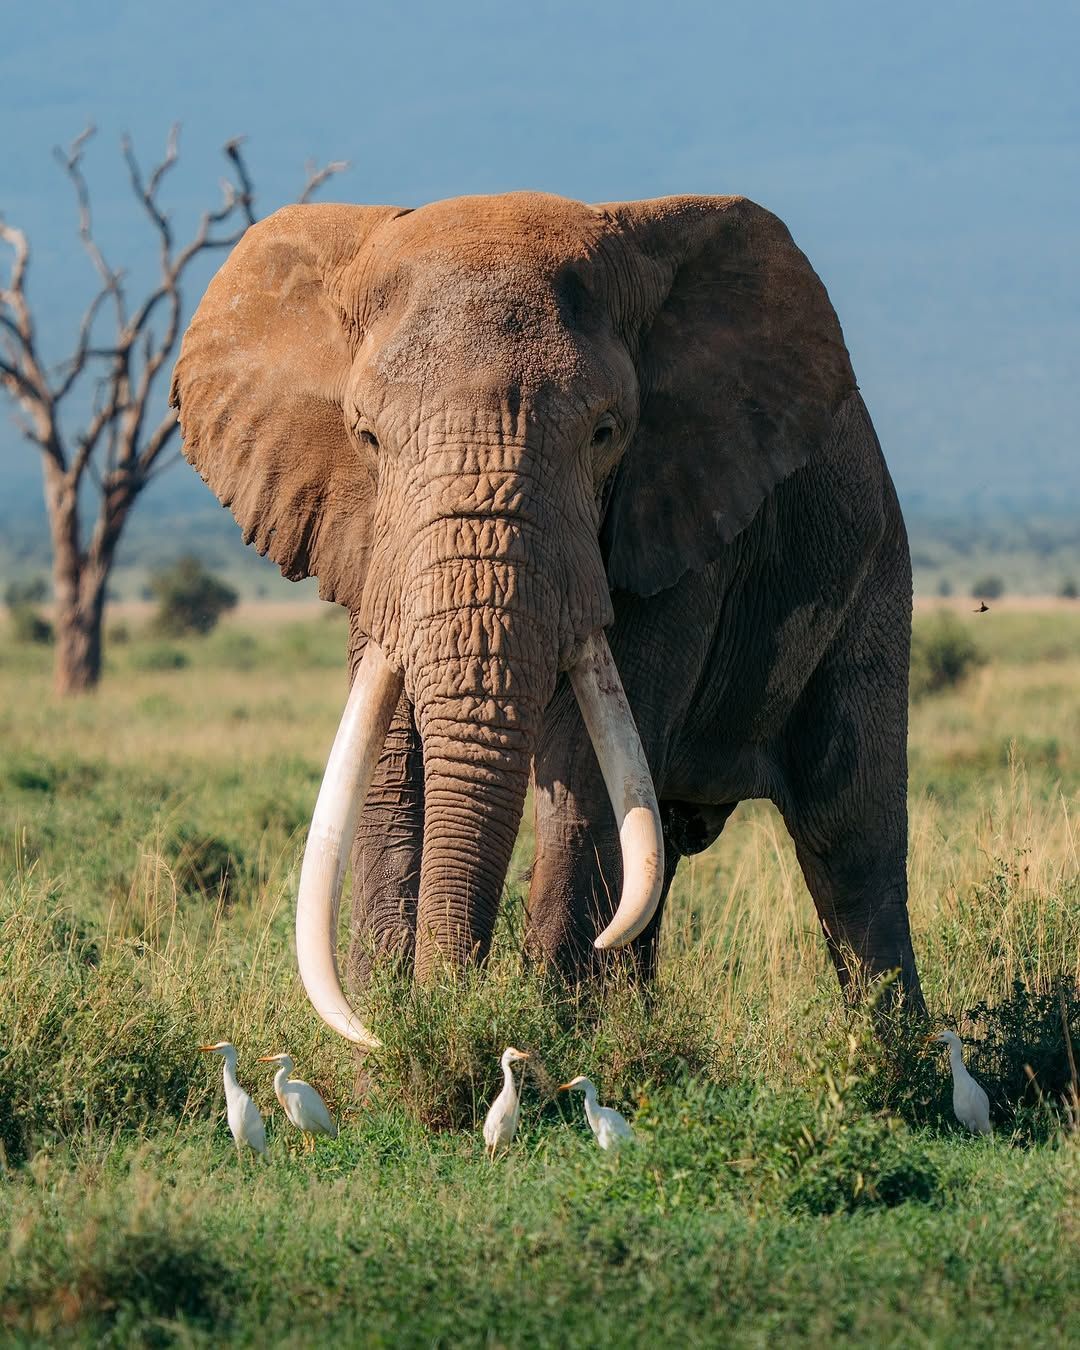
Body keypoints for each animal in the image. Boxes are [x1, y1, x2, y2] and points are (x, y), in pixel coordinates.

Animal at [171, 191, 923, 1047]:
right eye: (366, 436)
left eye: (604, 433)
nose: (447, 1009)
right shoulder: (366, 539)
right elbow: (391, 762)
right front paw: (383, 1046)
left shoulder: (672, 522)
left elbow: (588, 770)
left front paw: (535, 1044)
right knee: (672, 846)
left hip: (872, 570)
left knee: (848, 836)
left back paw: (896, 1066)